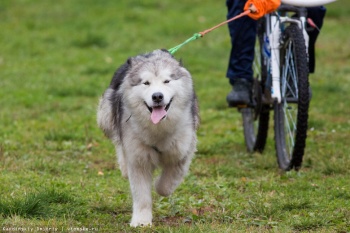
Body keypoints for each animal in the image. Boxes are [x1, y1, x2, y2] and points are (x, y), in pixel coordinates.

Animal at [97, 48, 198, 226]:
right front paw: (141, 221)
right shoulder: (138, 158)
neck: (157, 129)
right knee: (117, 140)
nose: (157, 96)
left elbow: (166, 185)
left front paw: (158, 185)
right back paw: (124, 166)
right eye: (146, 83)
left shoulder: (182, 151)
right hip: (106, 117)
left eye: (167, 81)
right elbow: (141, 194)